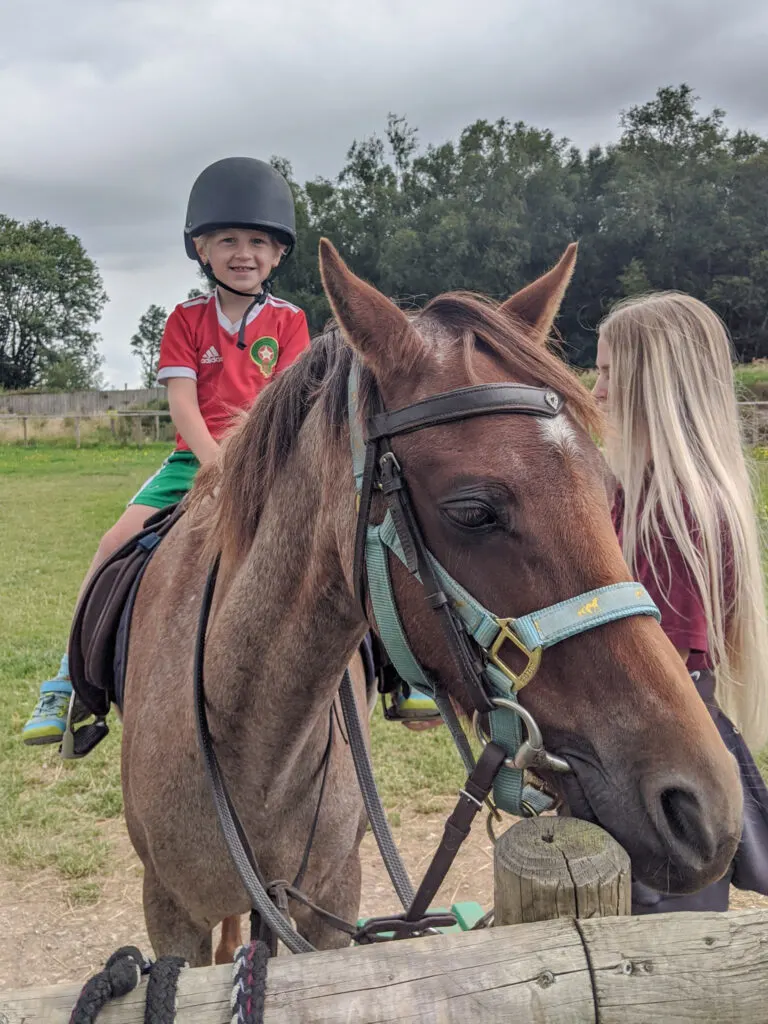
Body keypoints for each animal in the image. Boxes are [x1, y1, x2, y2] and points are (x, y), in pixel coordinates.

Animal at [121, 243, 745, 962]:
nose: (701, 806)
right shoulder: (169, 914)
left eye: (608, 488)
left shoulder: (332, 904)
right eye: (472, 510)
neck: (251, 748)